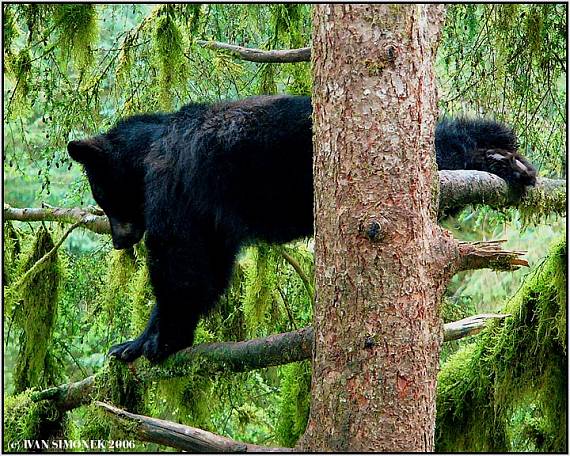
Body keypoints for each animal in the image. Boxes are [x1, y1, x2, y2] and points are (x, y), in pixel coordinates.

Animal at [67, 94, 536, 362]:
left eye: (102, 197)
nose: (119, 240)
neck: (152, 150)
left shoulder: (181, 187)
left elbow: (183, 263)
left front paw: (163, 339)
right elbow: (210, 263)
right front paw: (133, 343)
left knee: (447, 150)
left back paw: (502, 159)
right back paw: (506, 156)